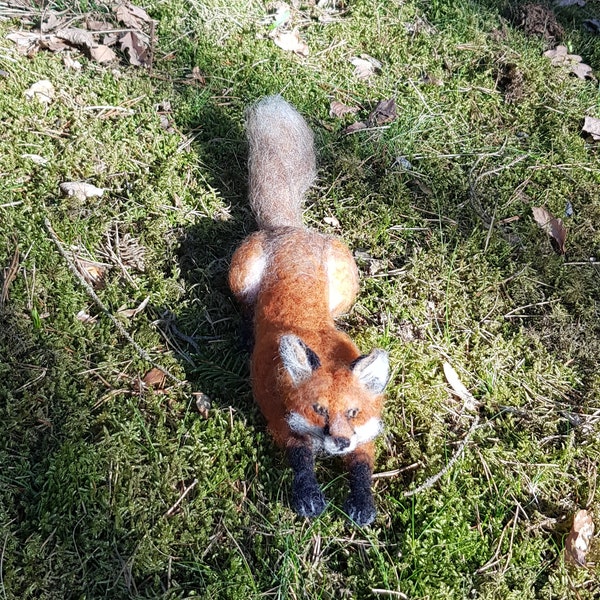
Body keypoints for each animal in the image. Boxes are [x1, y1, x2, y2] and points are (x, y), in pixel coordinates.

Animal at [229, 95, 390, 524]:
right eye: (319, 410)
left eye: (352, 413)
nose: (337, 442)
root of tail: (289, 228)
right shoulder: (281, 423)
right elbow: (300, 461)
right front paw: (309, 497)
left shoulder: (364, 436)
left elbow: (363, 467)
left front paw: (362, 504)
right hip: (238, 280)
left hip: (347, 287)